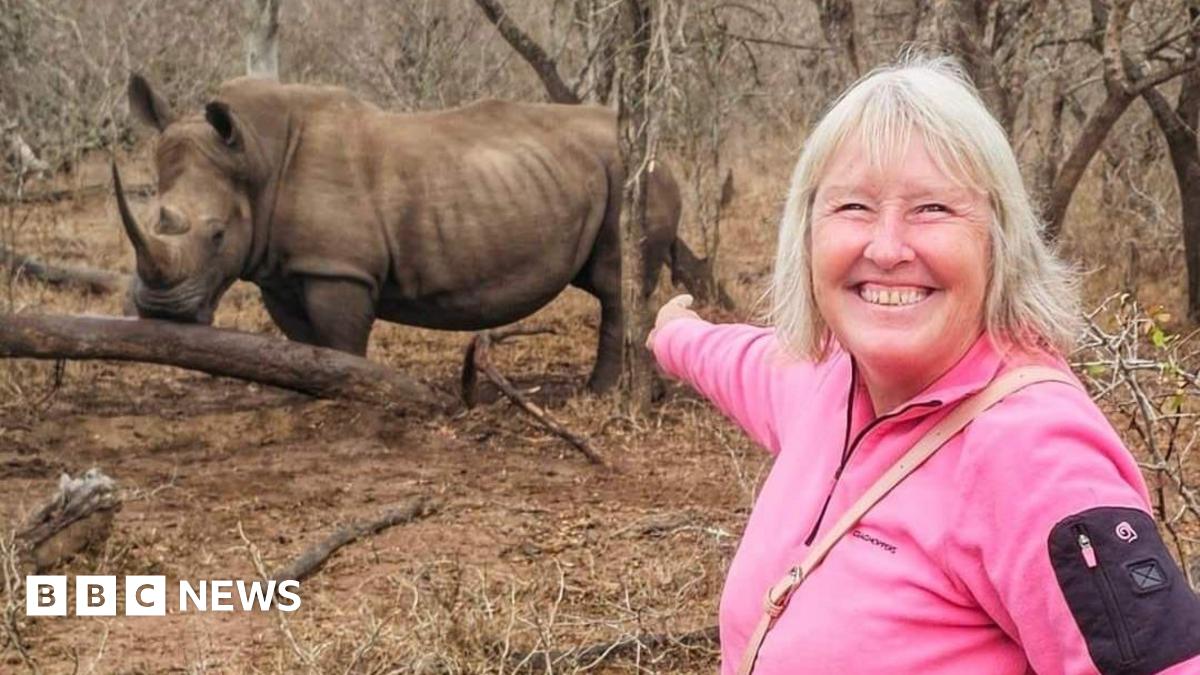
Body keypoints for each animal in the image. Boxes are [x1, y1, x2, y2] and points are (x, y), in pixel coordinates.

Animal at [114, 75, 683, 392]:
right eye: (155, 216)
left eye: (216, 236)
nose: (161, 312)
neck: (254, 157)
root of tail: (659, 152)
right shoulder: (283, 268)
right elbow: (304, 341)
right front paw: (301, 390)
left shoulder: (339, 269)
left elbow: (341, 341)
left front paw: (351, 393)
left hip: (631, 174)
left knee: (615, 284)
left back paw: (600, 394)